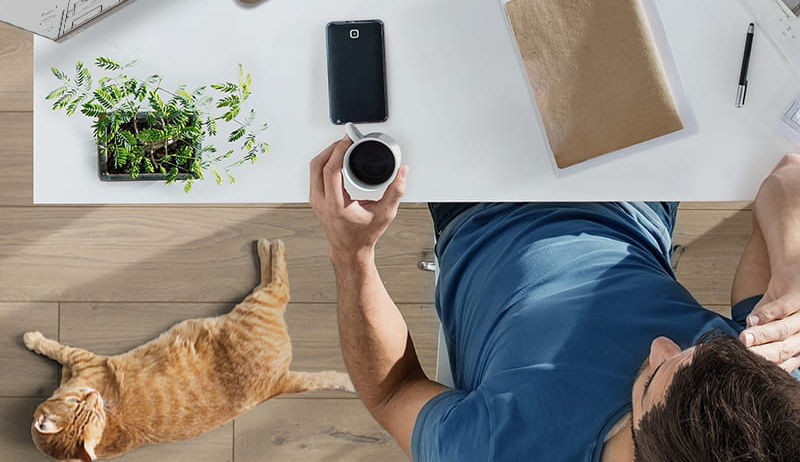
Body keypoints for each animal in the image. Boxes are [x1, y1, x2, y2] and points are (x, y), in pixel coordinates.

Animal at [23, 240, 354, 460]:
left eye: (83, 405)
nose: (94, 395)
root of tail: (278, 382)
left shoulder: (84, 358)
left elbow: (53, 346)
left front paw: (31, 337)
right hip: (258, 306)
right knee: (278, 285)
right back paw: (269, 246)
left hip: (256, 304)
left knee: (279, 283)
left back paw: (269, 245)